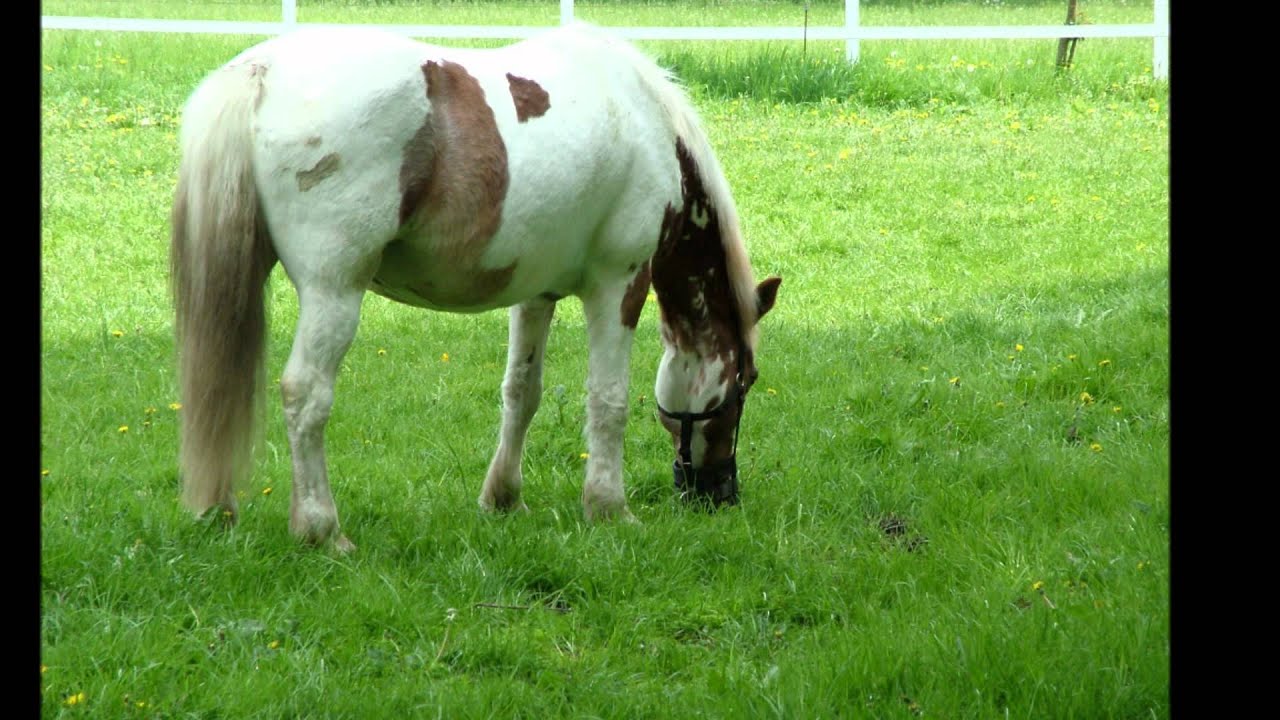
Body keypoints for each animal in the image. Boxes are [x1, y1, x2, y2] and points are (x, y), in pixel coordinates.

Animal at [170, 22, 781, 552]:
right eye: (745, 382)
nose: (721, 494)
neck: (640, 115)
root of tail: (262, 70)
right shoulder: (619, 284)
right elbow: (607, 399)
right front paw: (609, 508)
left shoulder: (536, 294)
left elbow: (522, 393)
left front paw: (504, 498)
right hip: (334, 293)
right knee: (306, 395)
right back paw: (322, 530)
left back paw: (221, 511)